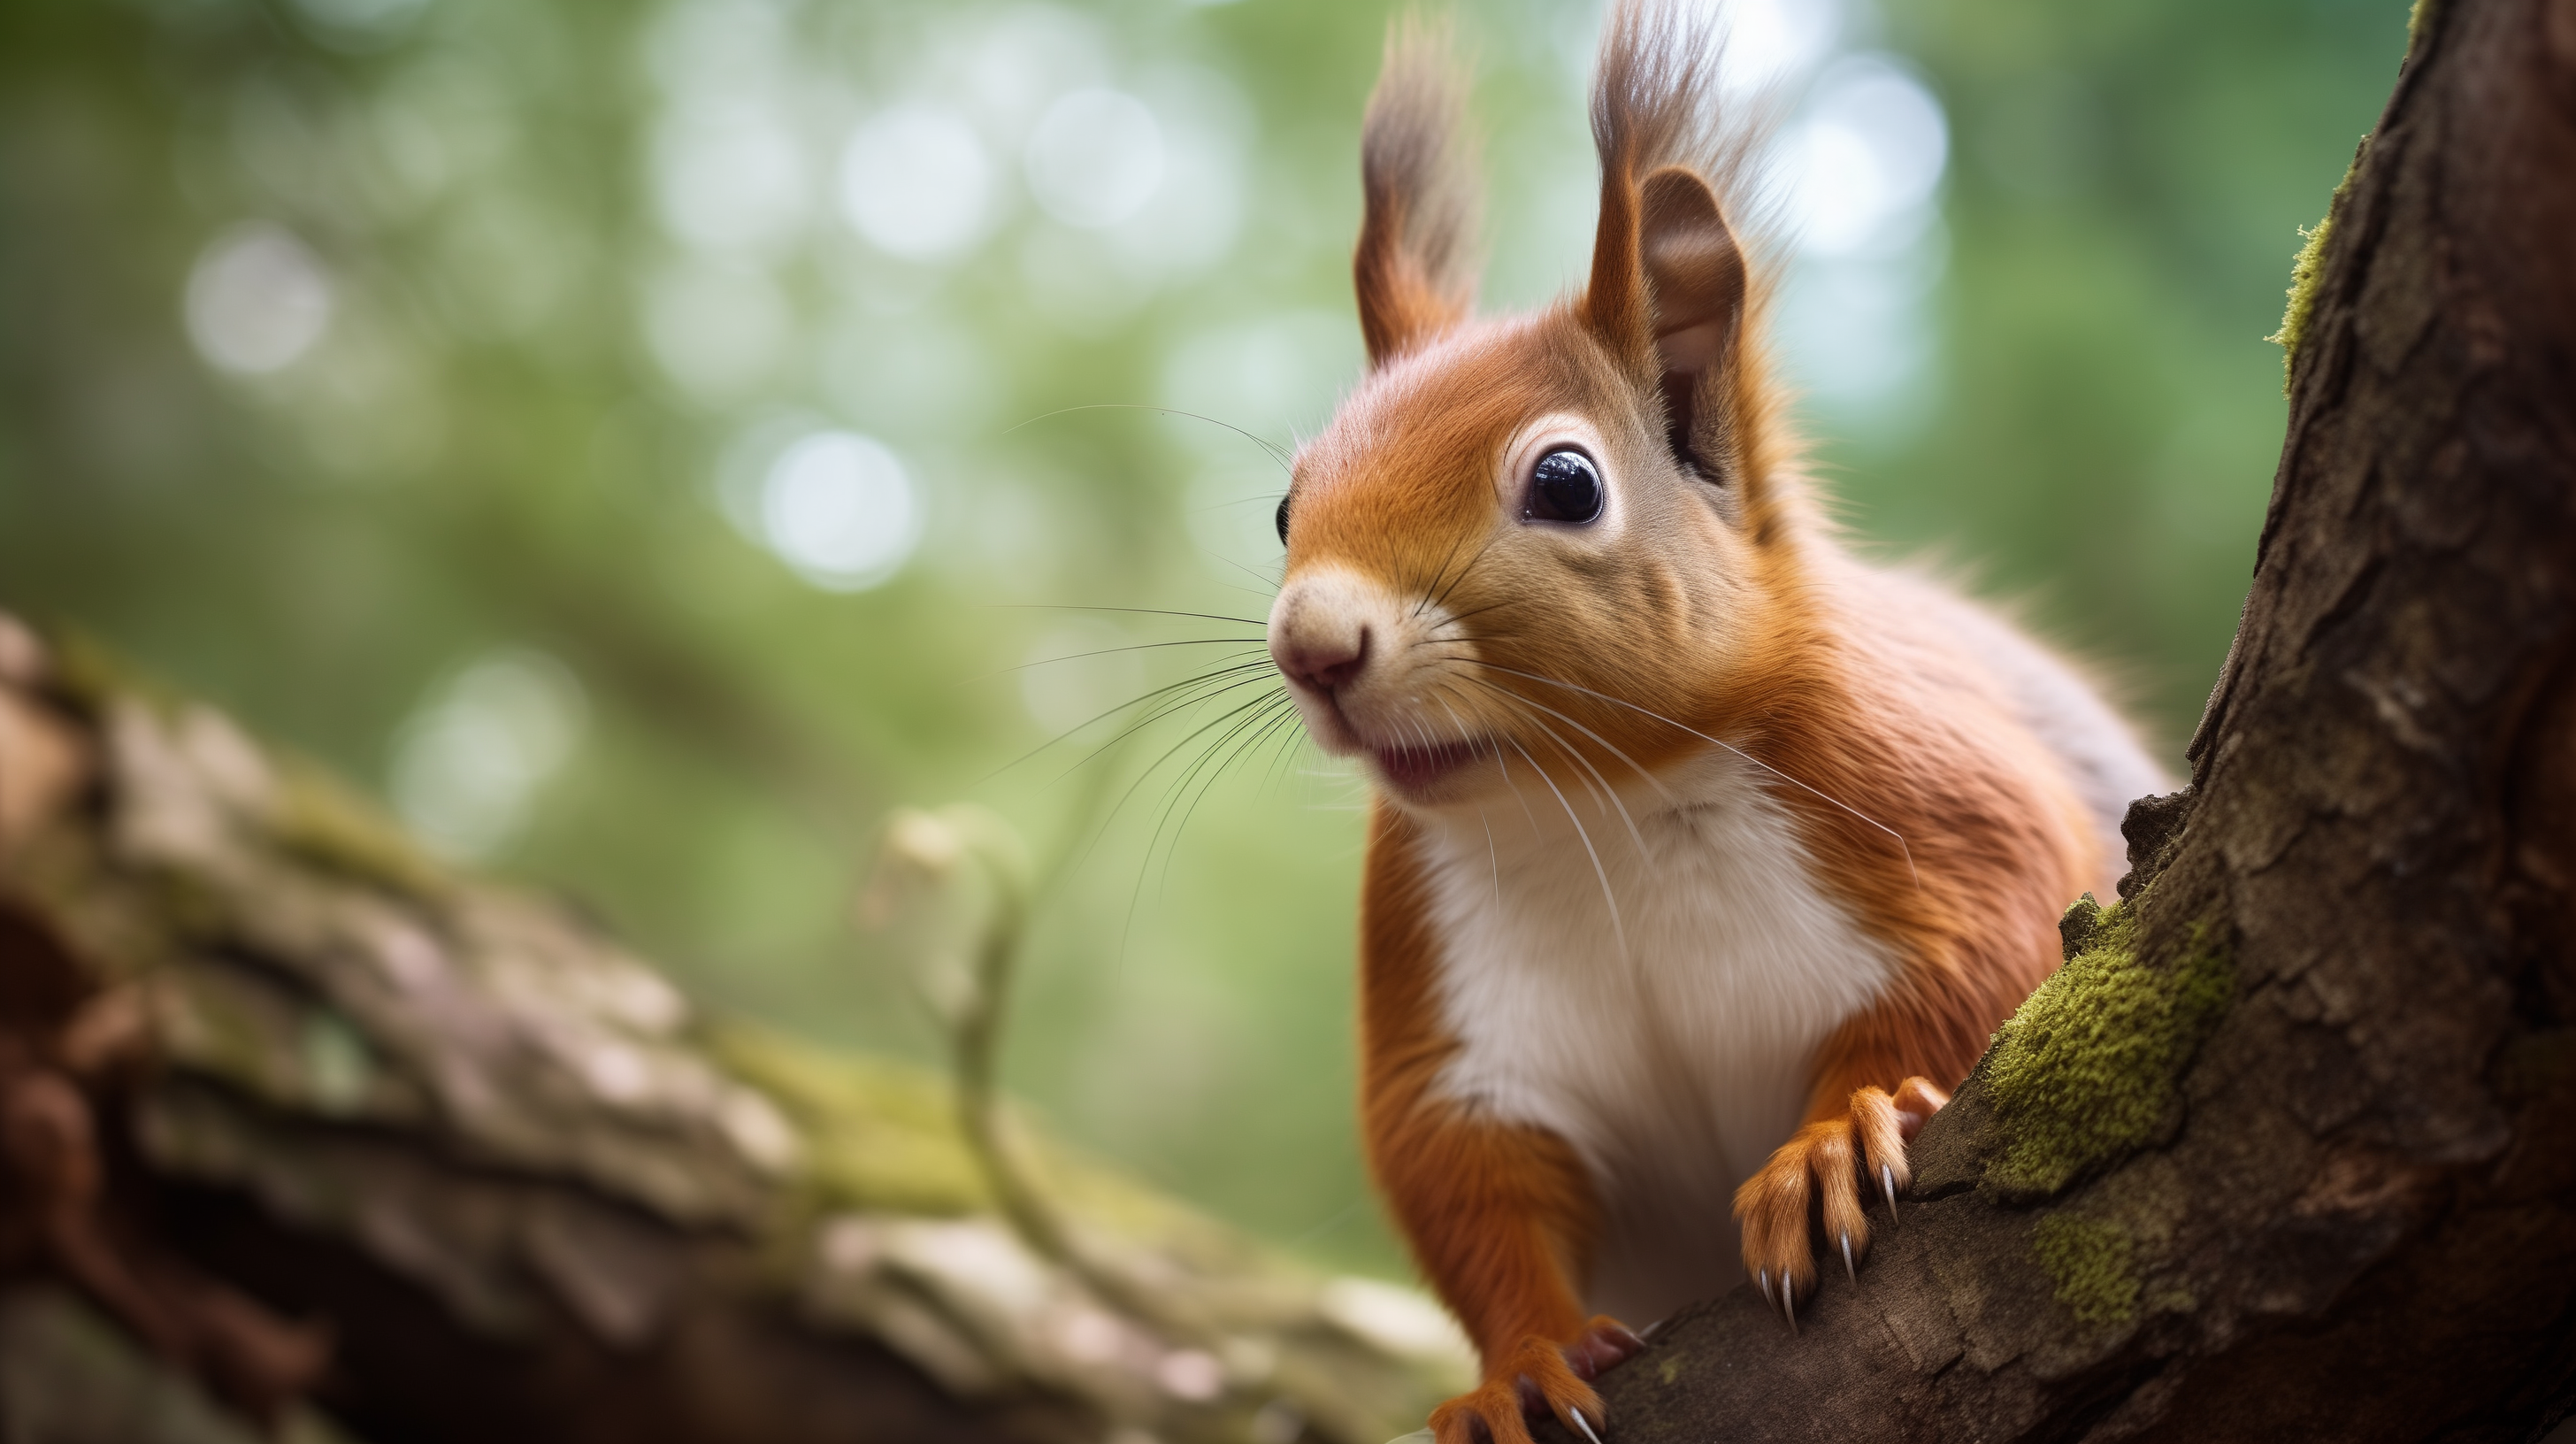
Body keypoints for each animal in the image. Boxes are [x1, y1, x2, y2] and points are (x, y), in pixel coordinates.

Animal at [1259, 4, 2167, 1442]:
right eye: (1286, 507)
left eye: (1565, 483)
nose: (1312, 645)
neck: (1606, 806)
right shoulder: (1445, 995)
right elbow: (1466, 1175)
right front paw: (1517, 1365)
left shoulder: (1935, 801)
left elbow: (1985, 961)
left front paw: (1833, 1144)